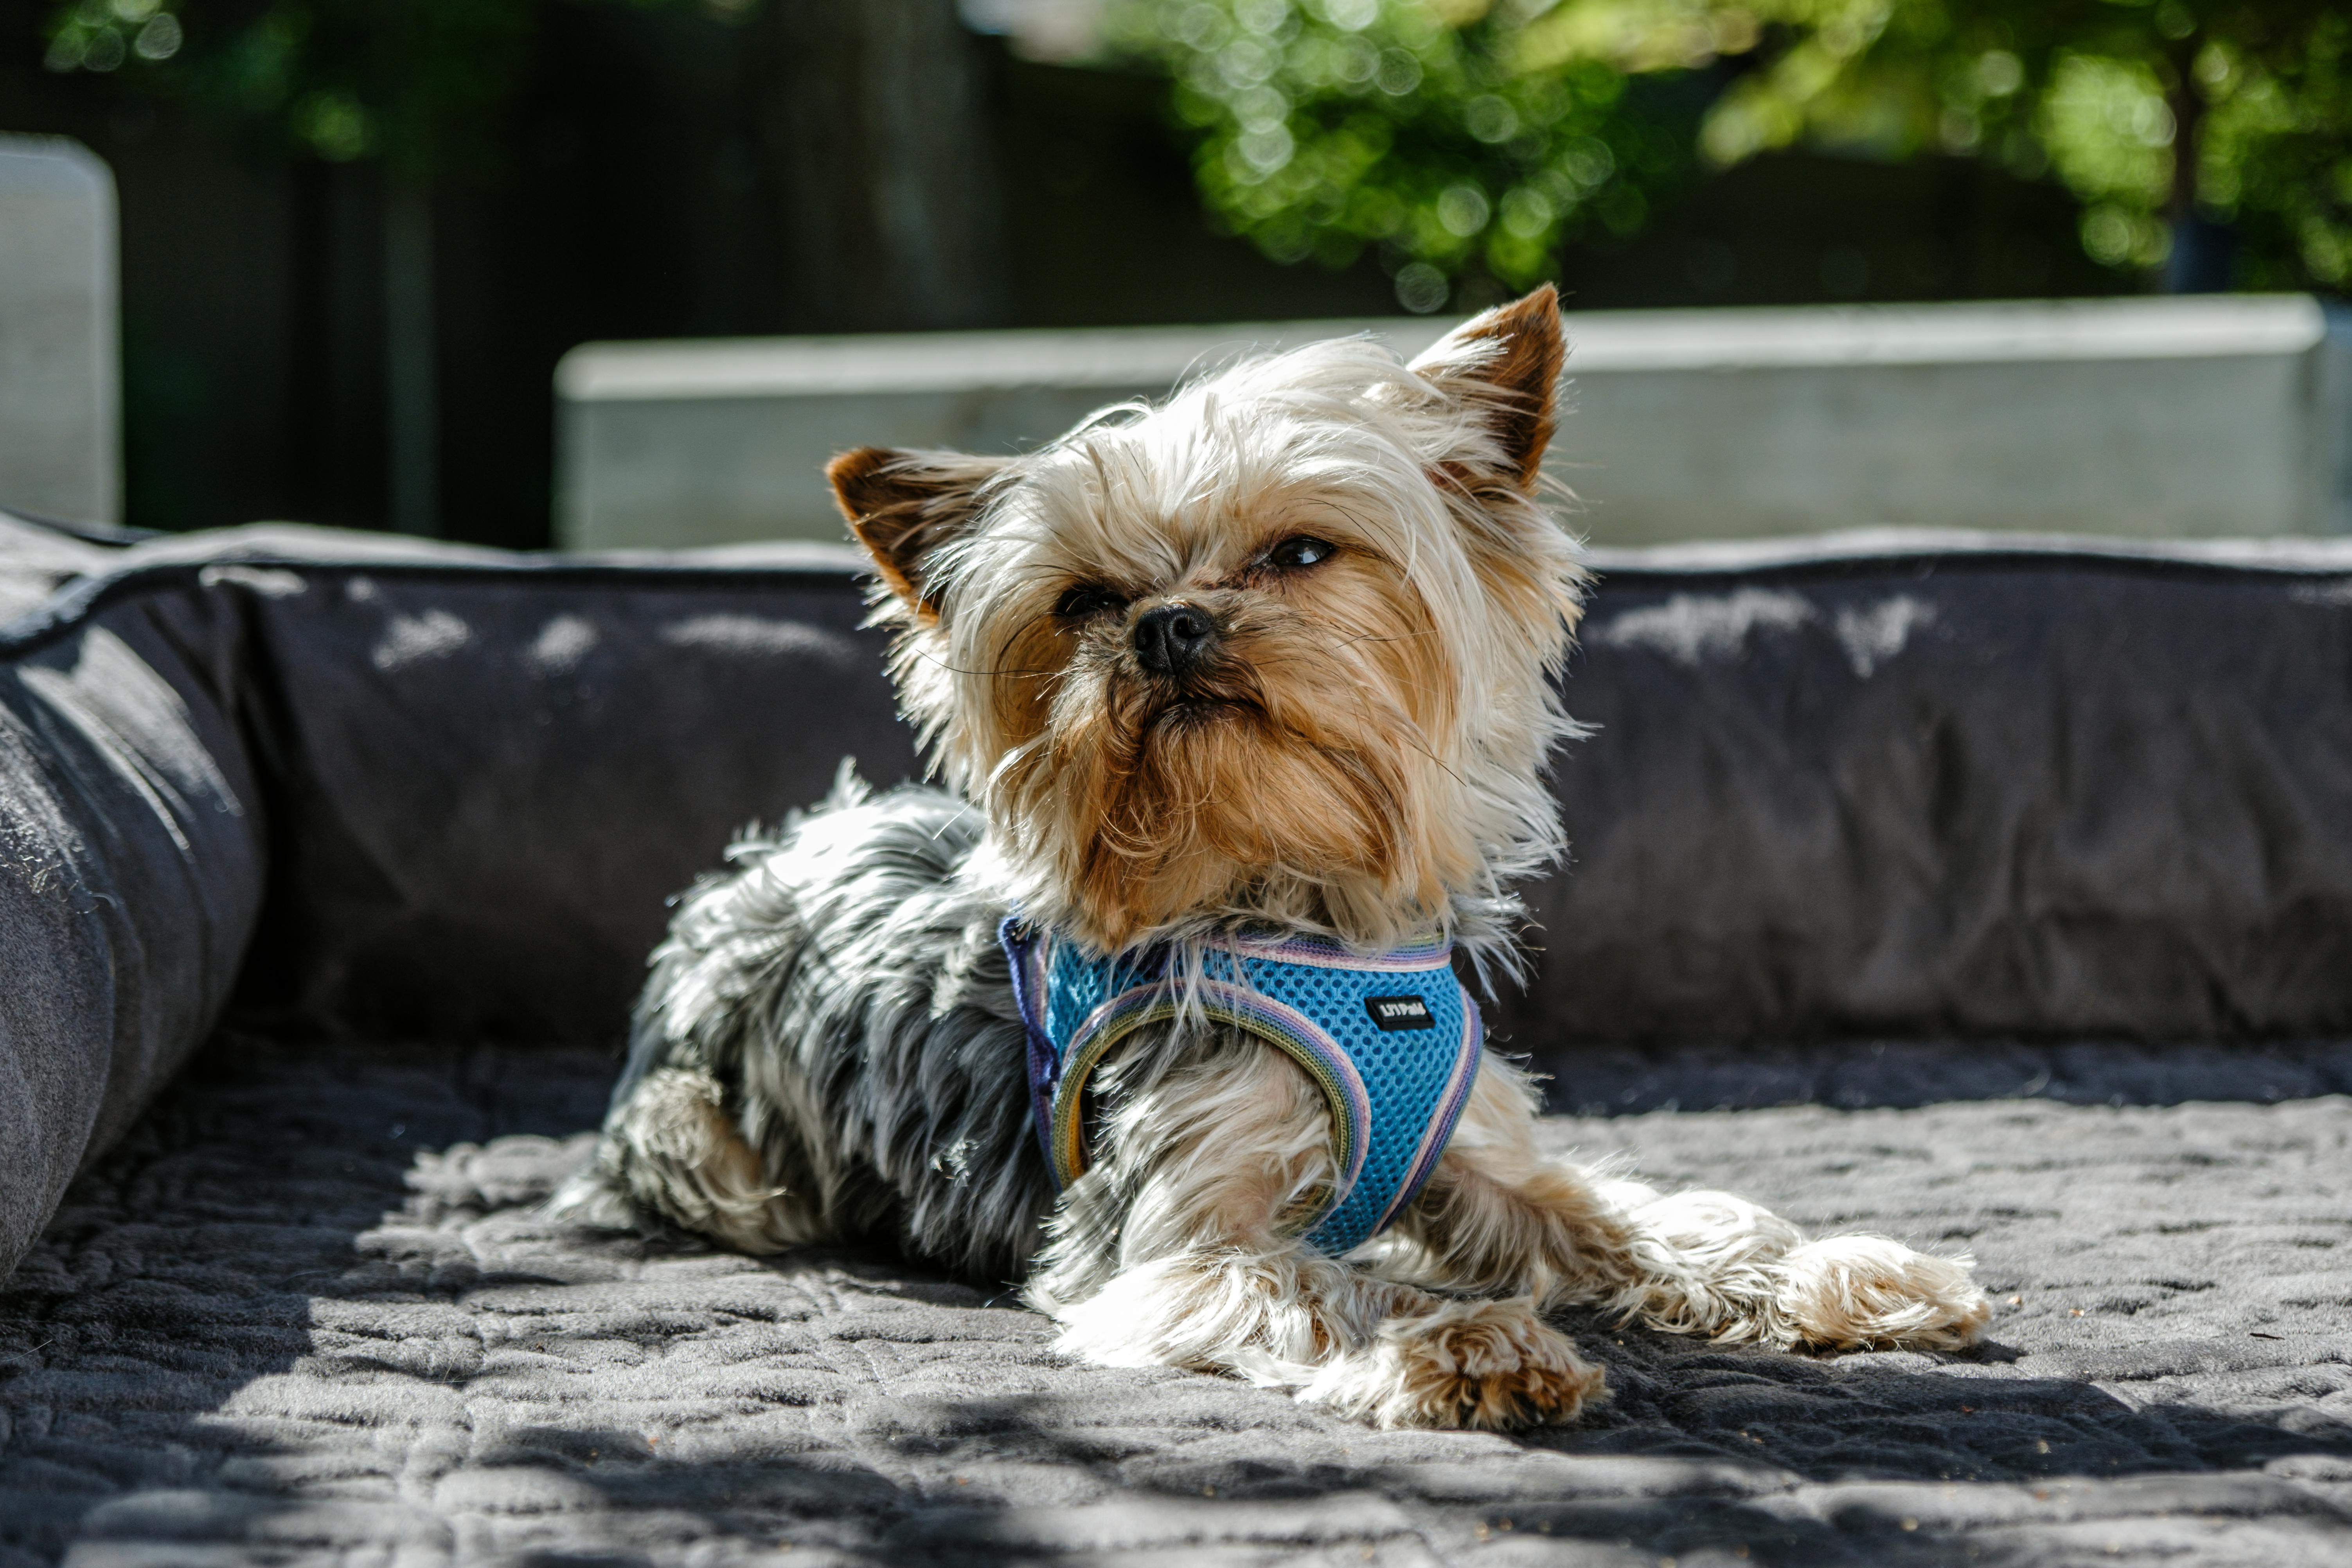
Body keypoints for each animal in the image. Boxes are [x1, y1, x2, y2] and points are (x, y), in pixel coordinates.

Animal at [559, 288, 1994, 1429]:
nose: (1165, 621)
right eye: (1083, 601)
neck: (1300, 912)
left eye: (1299, 550)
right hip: (695, 1136)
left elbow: (1631, 1213)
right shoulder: (1167, 1237)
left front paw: (1839, 1271)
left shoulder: (1480, 1159)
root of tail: (770, 858)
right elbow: (1321, 1279)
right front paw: (1467, 1338)